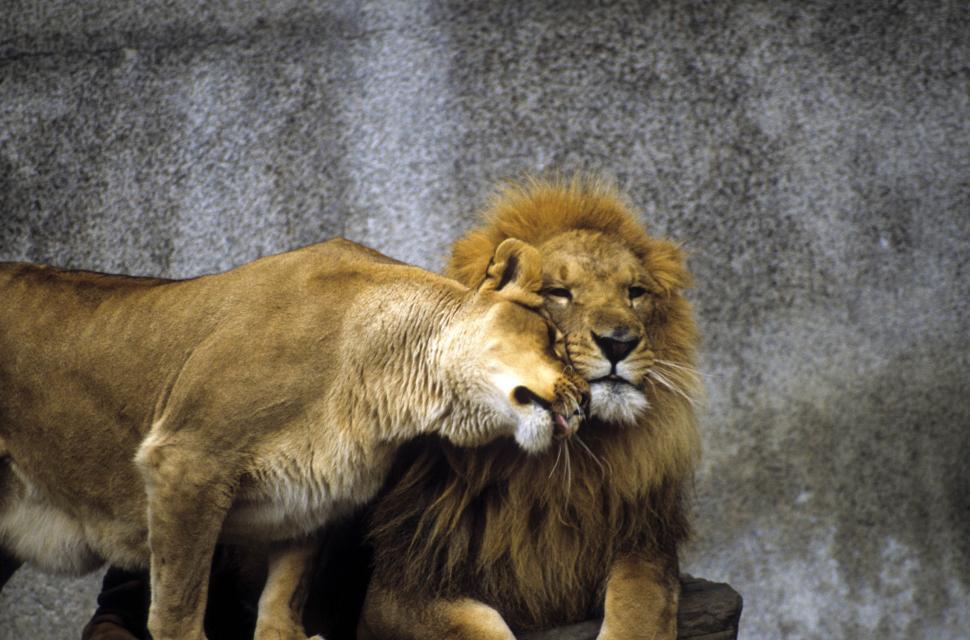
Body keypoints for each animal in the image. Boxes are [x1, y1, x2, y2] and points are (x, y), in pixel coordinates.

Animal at [0, 237, 588, 640]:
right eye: (556, 341)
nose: (584, 401)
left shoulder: (313, 494)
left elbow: (284, 595)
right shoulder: (186, 461)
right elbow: (179, 606)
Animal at [359, 178, 701, 640]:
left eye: (635, 293)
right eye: (558, 293)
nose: (619, 342)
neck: (567, 462)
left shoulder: (643, 541)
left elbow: (640, 599)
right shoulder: (397, 584)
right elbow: (478, 628)